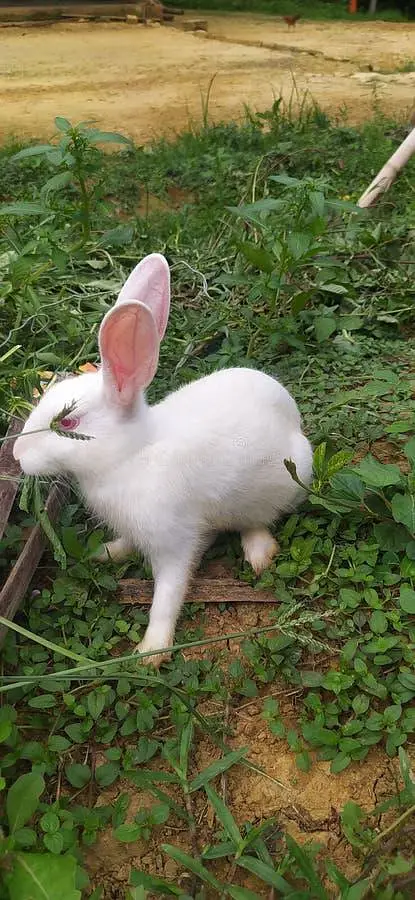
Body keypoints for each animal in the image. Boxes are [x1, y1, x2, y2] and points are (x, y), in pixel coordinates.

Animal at [13, 253, 313, 666]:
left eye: (68, 423)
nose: (16, 455)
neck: (131, 455)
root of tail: (294, 418)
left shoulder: (174, 542)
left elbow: (167, 596)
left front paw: (150, 652)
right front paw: (107, 552)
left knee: (256, 520)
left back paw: (259, 552)